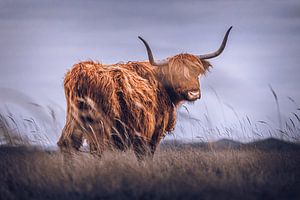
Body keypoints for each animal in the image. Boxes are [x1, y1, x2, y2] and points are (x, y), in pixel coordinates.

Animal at [58, 26, 232, 159]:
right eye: (175, 74)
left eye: (196, 72)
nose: (193, 93)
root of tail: (81, 71)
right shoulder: (151, 132)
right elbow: (145, 156)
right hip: (100, 124)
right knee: (96, 149)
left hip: (75, 119)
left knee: (68, 144)